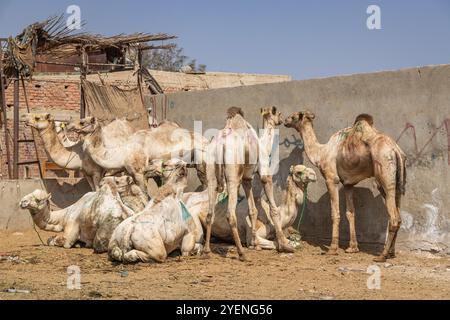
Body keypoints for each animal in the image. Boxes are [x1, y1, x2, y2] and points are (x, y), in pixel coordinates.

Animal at [284, 111, 408, 262]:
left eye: (294, 116)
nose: (285, 120)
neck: (321, 152)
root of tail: (395, 150)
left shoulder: (331, 179)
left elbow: (335, 213)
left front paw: (332, 249)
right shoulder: (348, 184)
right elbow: (350, 213)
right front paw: (352, 248)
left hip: (384, 174)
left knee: (394, 217)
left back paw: (382, 255)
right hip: (398, 180)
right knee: (398, 215)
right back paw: (391, 253)